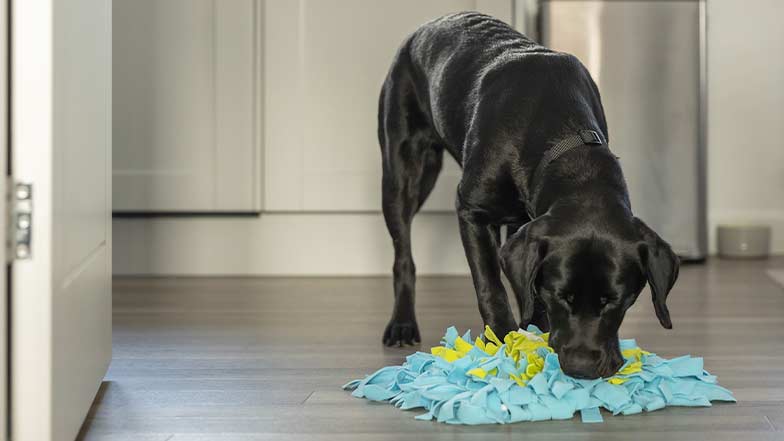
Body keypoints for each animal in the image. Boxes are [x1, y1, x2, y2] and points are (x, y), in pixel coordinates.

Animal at [376, 13, 676, 378]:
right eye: (562, 296)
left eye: (615, 300)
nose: (581, 367)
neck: (564, 136)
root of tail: (427, 26)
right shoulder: (471, 211)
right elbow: (490, 286)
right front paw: (503, 340)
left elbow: (526, 284)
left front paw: (534, 330)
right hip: (404, 175)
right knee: (403, 253)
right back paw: (402, 324)